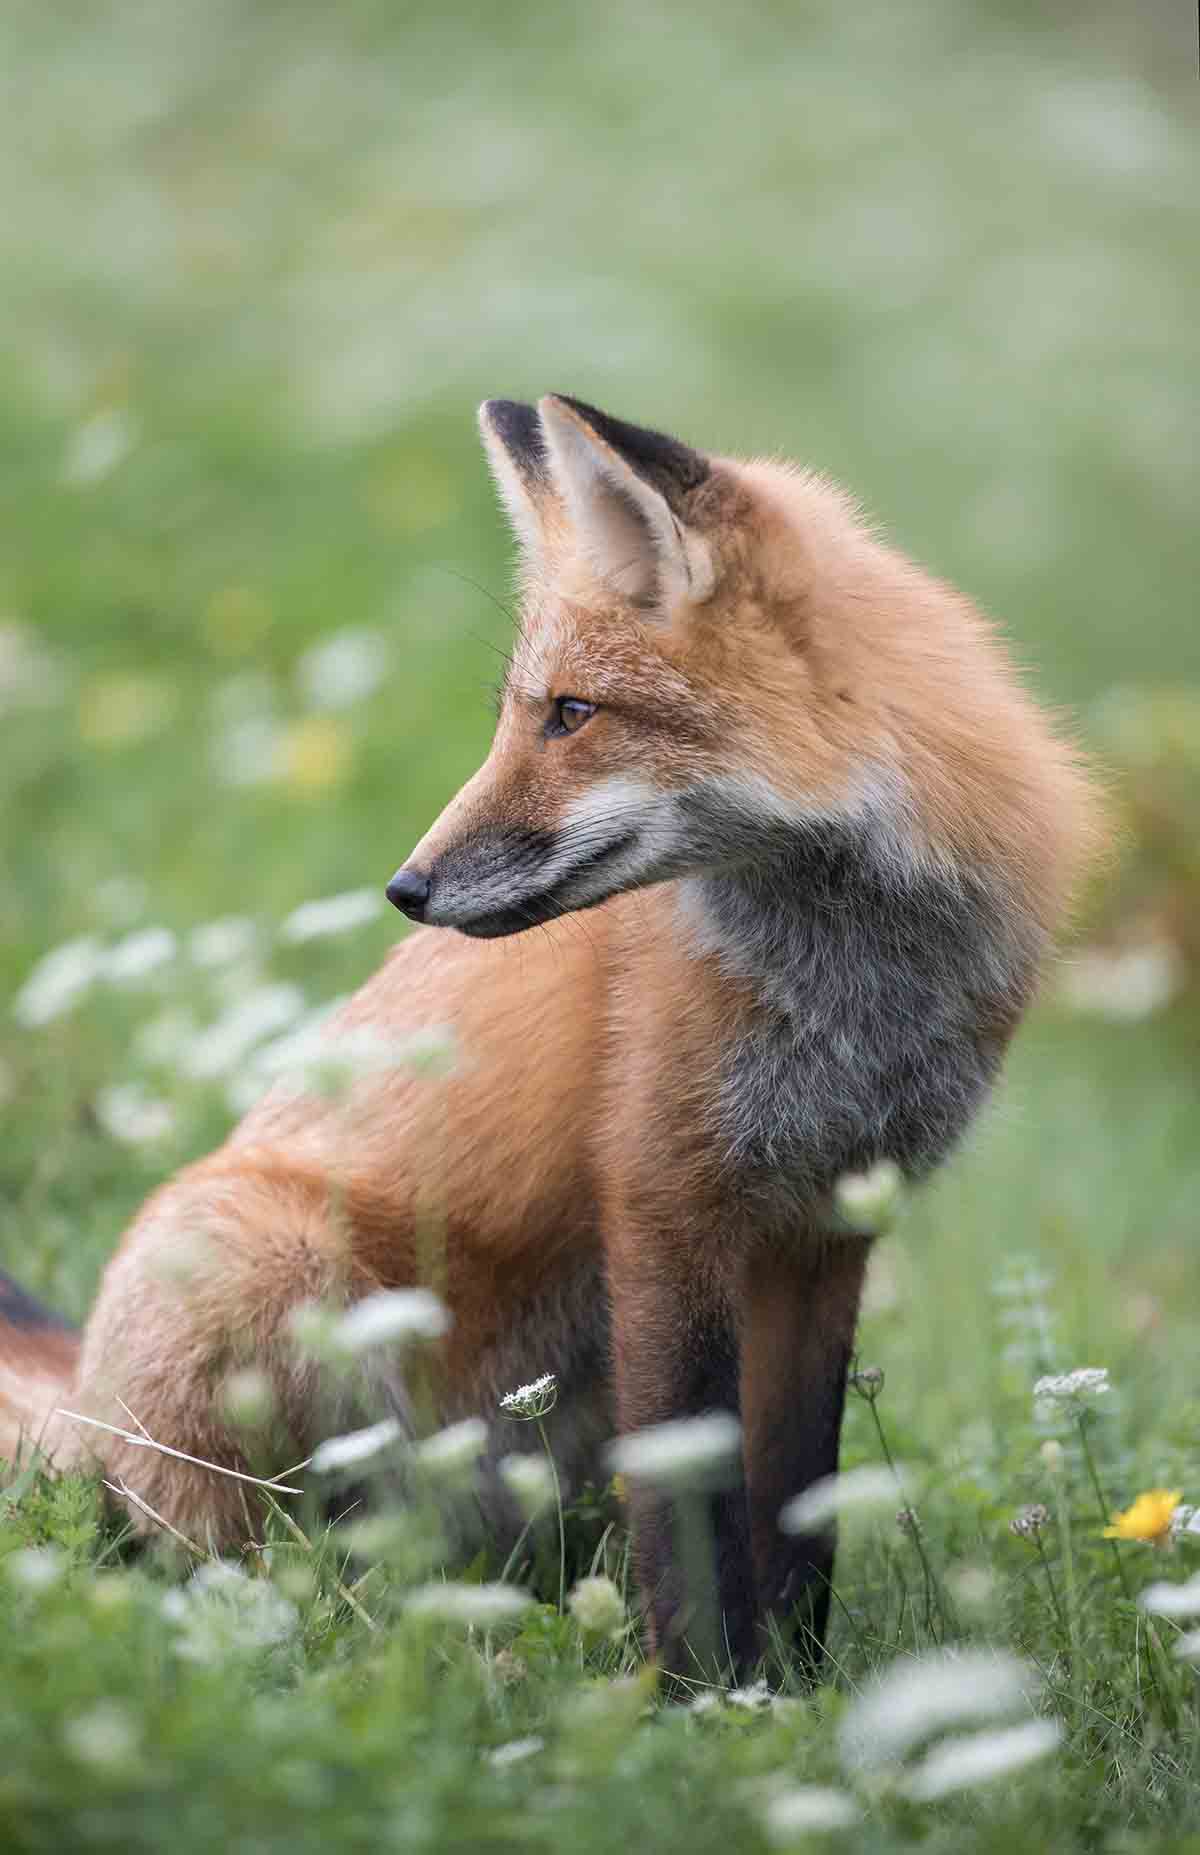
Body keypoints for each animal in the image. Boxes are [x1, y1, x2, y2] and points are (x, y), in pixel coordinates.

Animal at [0, 394, 1101, 1678]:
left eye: (572, 714)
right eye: (520, 717)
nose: (406, 888)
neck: (852, 991)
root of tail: (84, 1397)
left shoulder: (826, 1225)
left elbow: (800, 1501)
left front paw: (806, 1689)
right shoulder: (663, 1197)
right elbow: (692, 1499)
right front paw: (709, 1698)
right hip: (271, 1278)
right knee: (216, 1565)